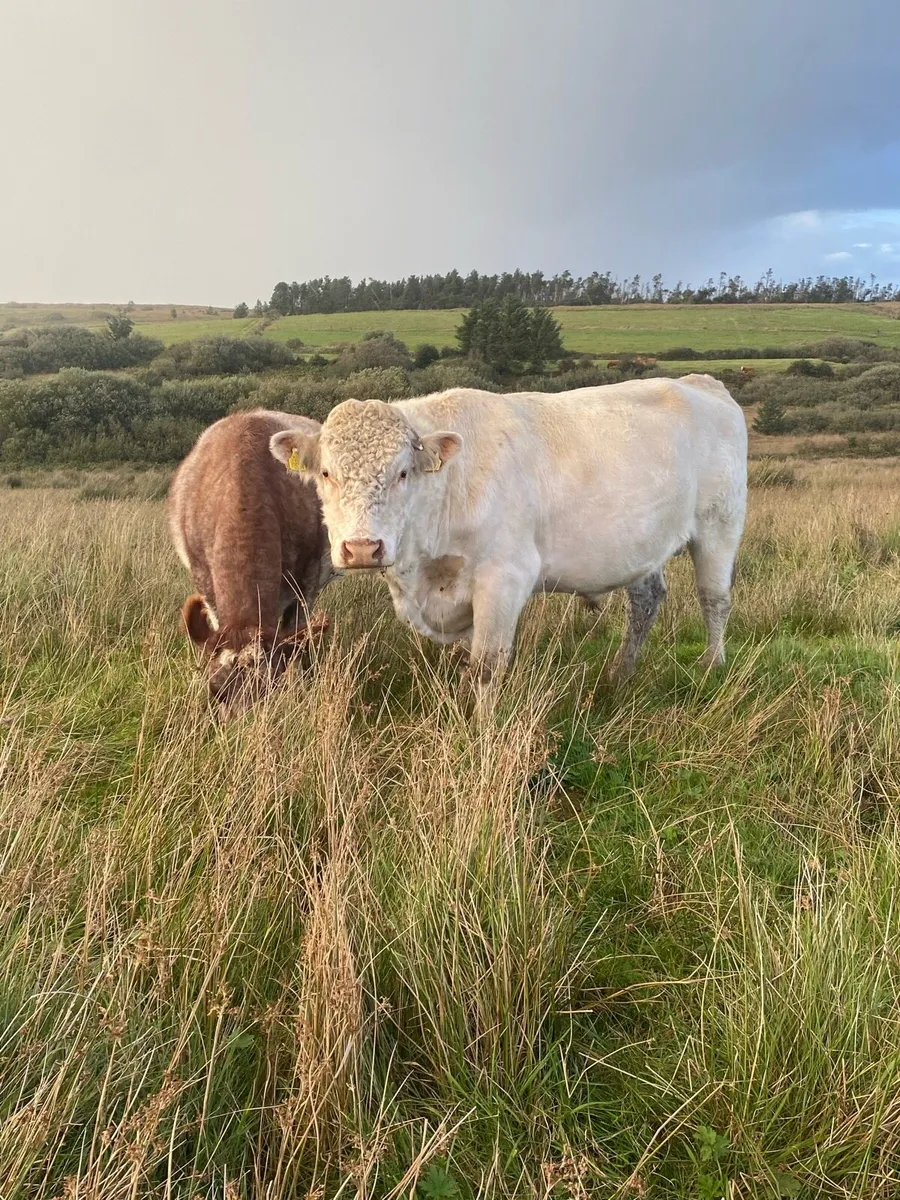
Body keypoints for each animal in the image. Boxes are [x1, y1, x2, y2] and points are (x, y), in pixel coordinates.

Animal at [269, 378, 747, 707]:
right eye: (326, 473)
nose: (363, 548)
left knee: (714, 598)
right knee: (646, 600)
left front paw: (479, 735)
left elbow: (485, 666)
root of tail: (701, 382)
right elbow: (467, 660)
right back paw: (621, 673)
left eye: (402, 473)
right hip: (640, 545)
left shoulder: (504, 578)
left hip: (720, 525)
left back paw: (711, 664)